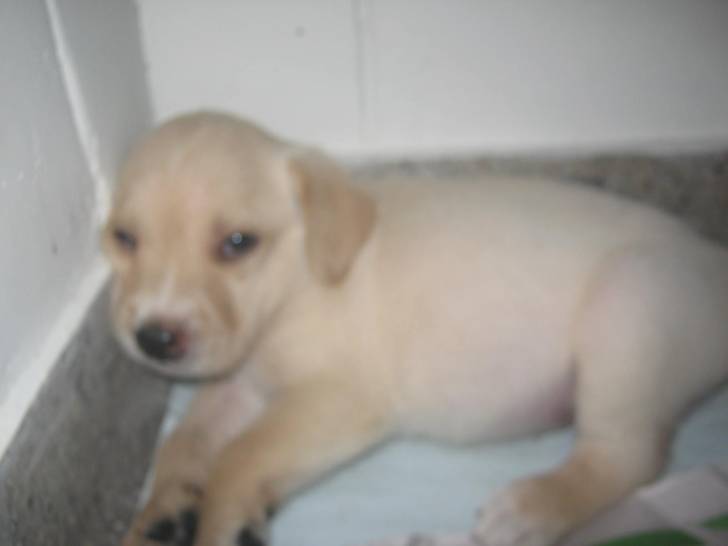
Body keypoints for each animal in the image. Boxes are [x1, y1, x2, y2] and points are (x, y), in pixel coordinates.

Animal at [105, 111, 728, 546]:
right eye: (123, 238)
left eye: (238, 243)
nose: (154, 339)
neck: (301, 280)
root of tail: (711, 258)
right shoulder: (242, 384)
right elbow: (185, 439)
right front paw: (163, 511)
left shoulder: (340, 399)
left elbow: (240, 455)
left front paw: (221, 520)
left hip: (627, 311)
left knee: (628, 455)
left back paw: (536, 505)